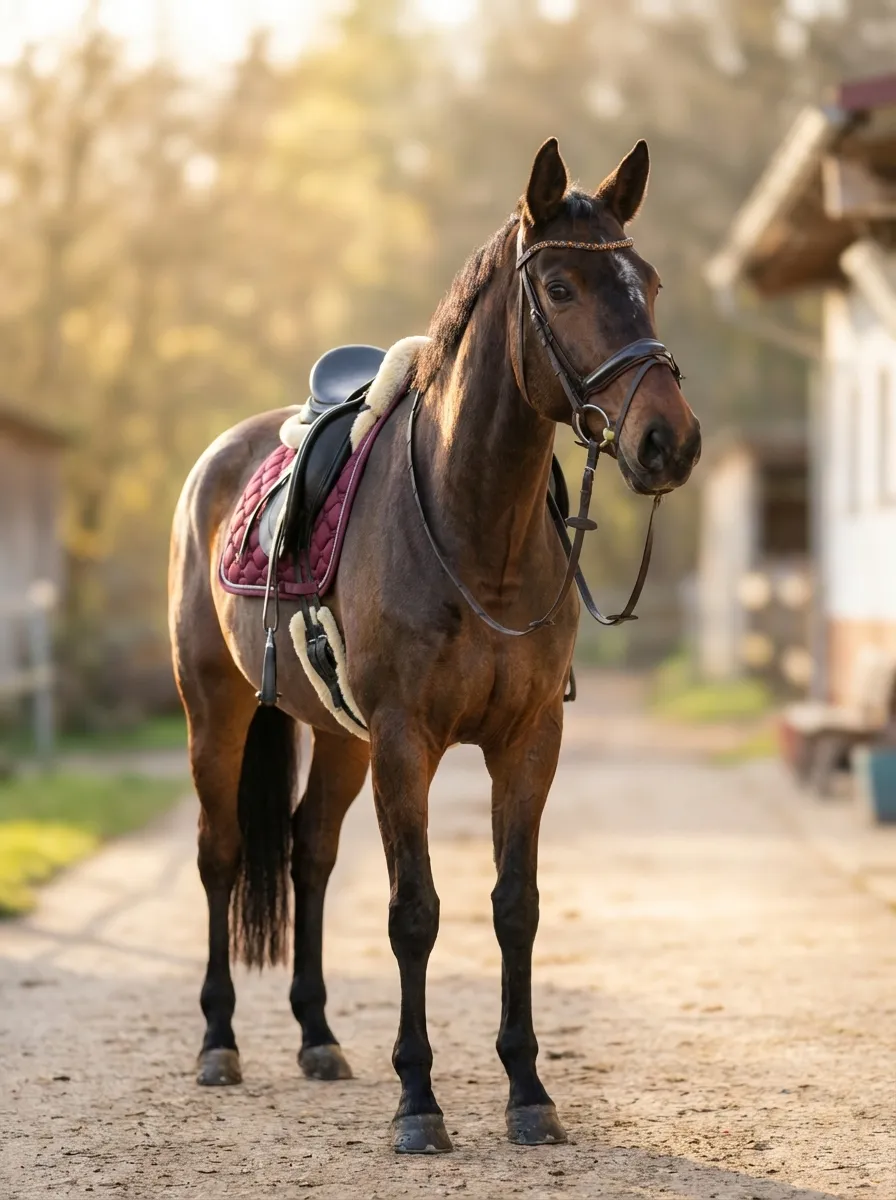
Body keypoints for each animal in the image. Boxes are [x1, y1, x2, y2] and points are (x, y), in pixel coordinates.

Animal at [168, 136, 701, 1154]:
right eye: (561, 288)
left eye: (648, 281)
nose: (670, 442)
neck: (472, 525)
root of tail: (217, 457)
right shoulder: (406, 741)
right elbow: (414, 913)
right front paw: (417, 1100)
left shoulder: (528, 740)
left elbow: (515, 906)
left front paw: (528, 1091)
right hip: (216, 710)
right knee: (221, 855)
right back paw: (219, 1044)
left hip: (336, 736)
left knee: (307, 854)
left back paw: (318, 1039)